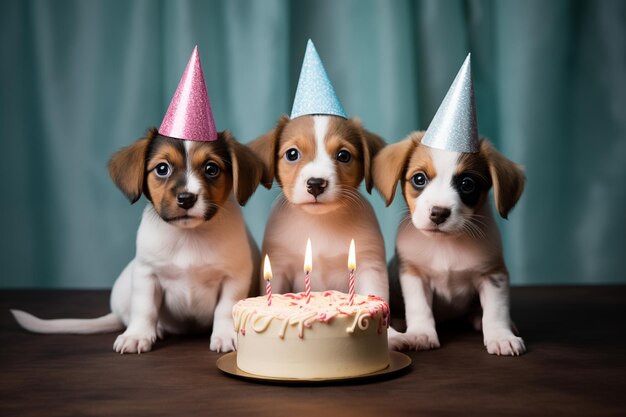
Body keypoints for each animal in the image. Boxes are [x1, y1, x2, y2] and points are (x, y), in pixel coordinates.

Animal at [12, 128, 260, 352]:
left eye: (211, 168)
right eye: (162, 168)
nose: (186, 198)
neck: (188, 235)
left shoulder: (234, 278)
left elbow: (225, 308)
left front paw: (225, 335)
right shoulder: (146, 274)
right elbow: (144, 308)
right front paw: (137, 335)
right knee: (133, 314)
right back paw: (154, 328)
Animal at [247, 114, 386, 300]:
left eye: (343, 155)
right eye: (292, 154)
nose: (315, 184)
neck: (319, 220)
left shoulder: (370, 267)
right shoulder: (277, 267)